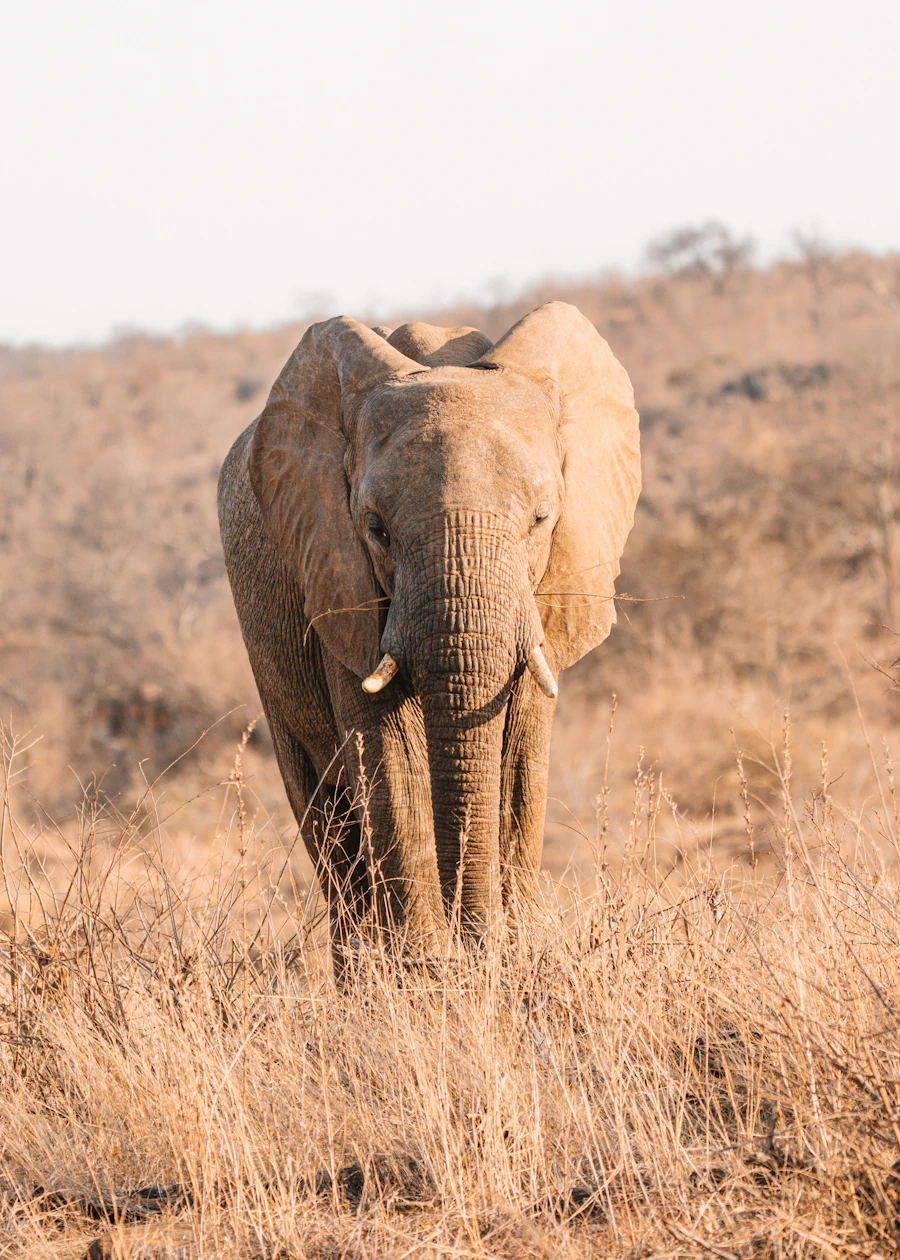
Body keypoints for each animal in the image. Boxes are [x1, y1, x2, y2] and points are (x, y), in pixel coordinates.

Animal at [217, 302, 640, 969]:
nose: (473, 944)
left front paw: (509, 957)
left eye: (541, 519)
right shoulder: (338, 576)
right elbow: (389, 751)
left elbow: (519, 759)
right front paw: (426, 970)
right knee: (325, 812)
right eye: (375, 529)